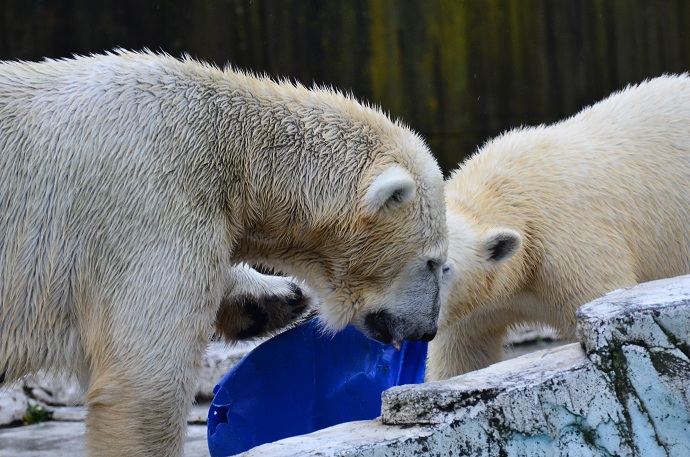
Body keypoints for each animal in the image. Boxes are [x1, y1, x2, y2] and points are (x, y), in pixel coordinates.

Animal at [0, 51, 446, 454]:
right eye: (433, 262)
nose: (427, 331)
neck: (230, 146)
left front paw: (274, 299)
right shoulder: (149, 202)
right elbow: (148, 378)